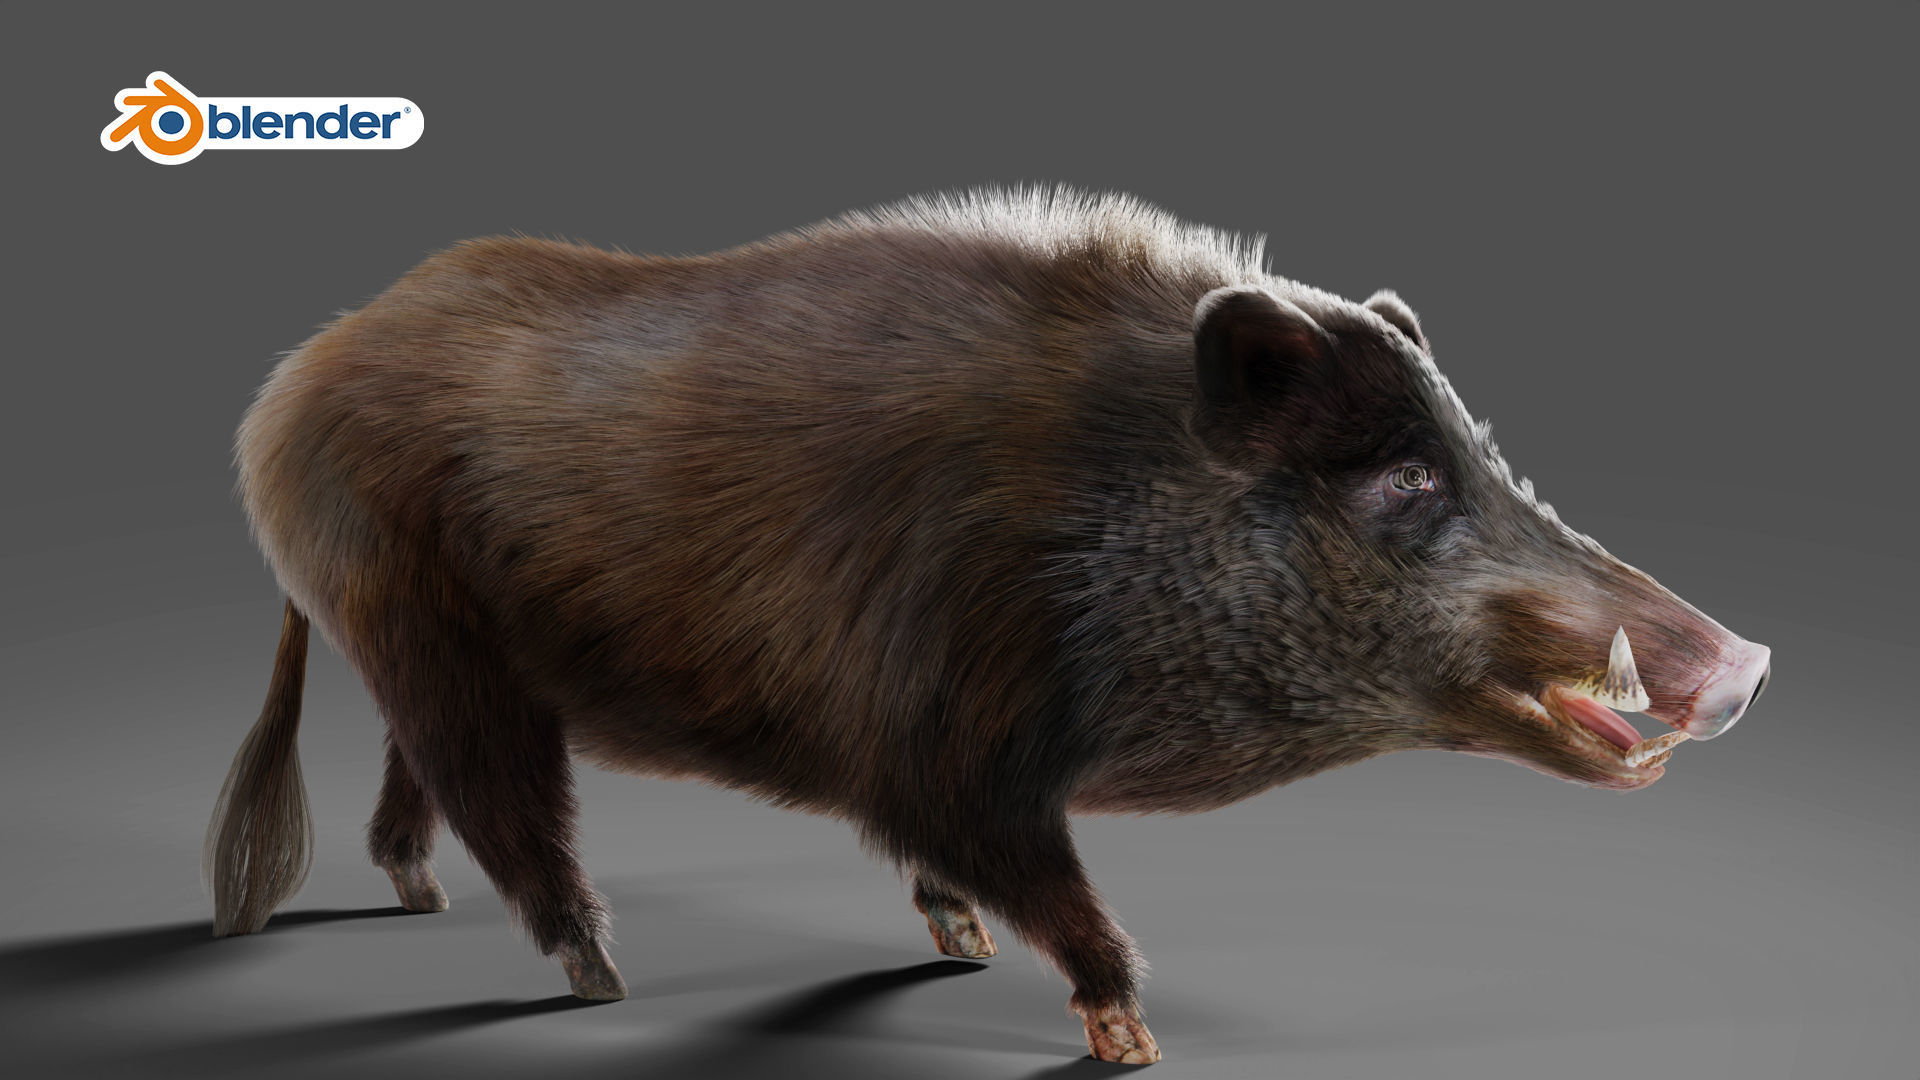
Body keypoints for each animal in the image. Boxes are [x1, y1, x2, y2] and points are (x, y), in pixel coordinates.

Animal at [206, 187, 1772, 1064]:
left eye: (1480, 454)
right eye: (1401, 479)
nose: (1748, 658)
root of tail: (288, 386)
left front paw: (955, 943)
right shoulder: (939, 741)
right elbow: (1030, 873)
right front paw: (1130, 1041)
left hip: (429, 648)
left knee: (417, 785)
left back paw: (420, 899)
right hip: (430, 632)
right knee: (506, 807)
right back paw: (598, 978)